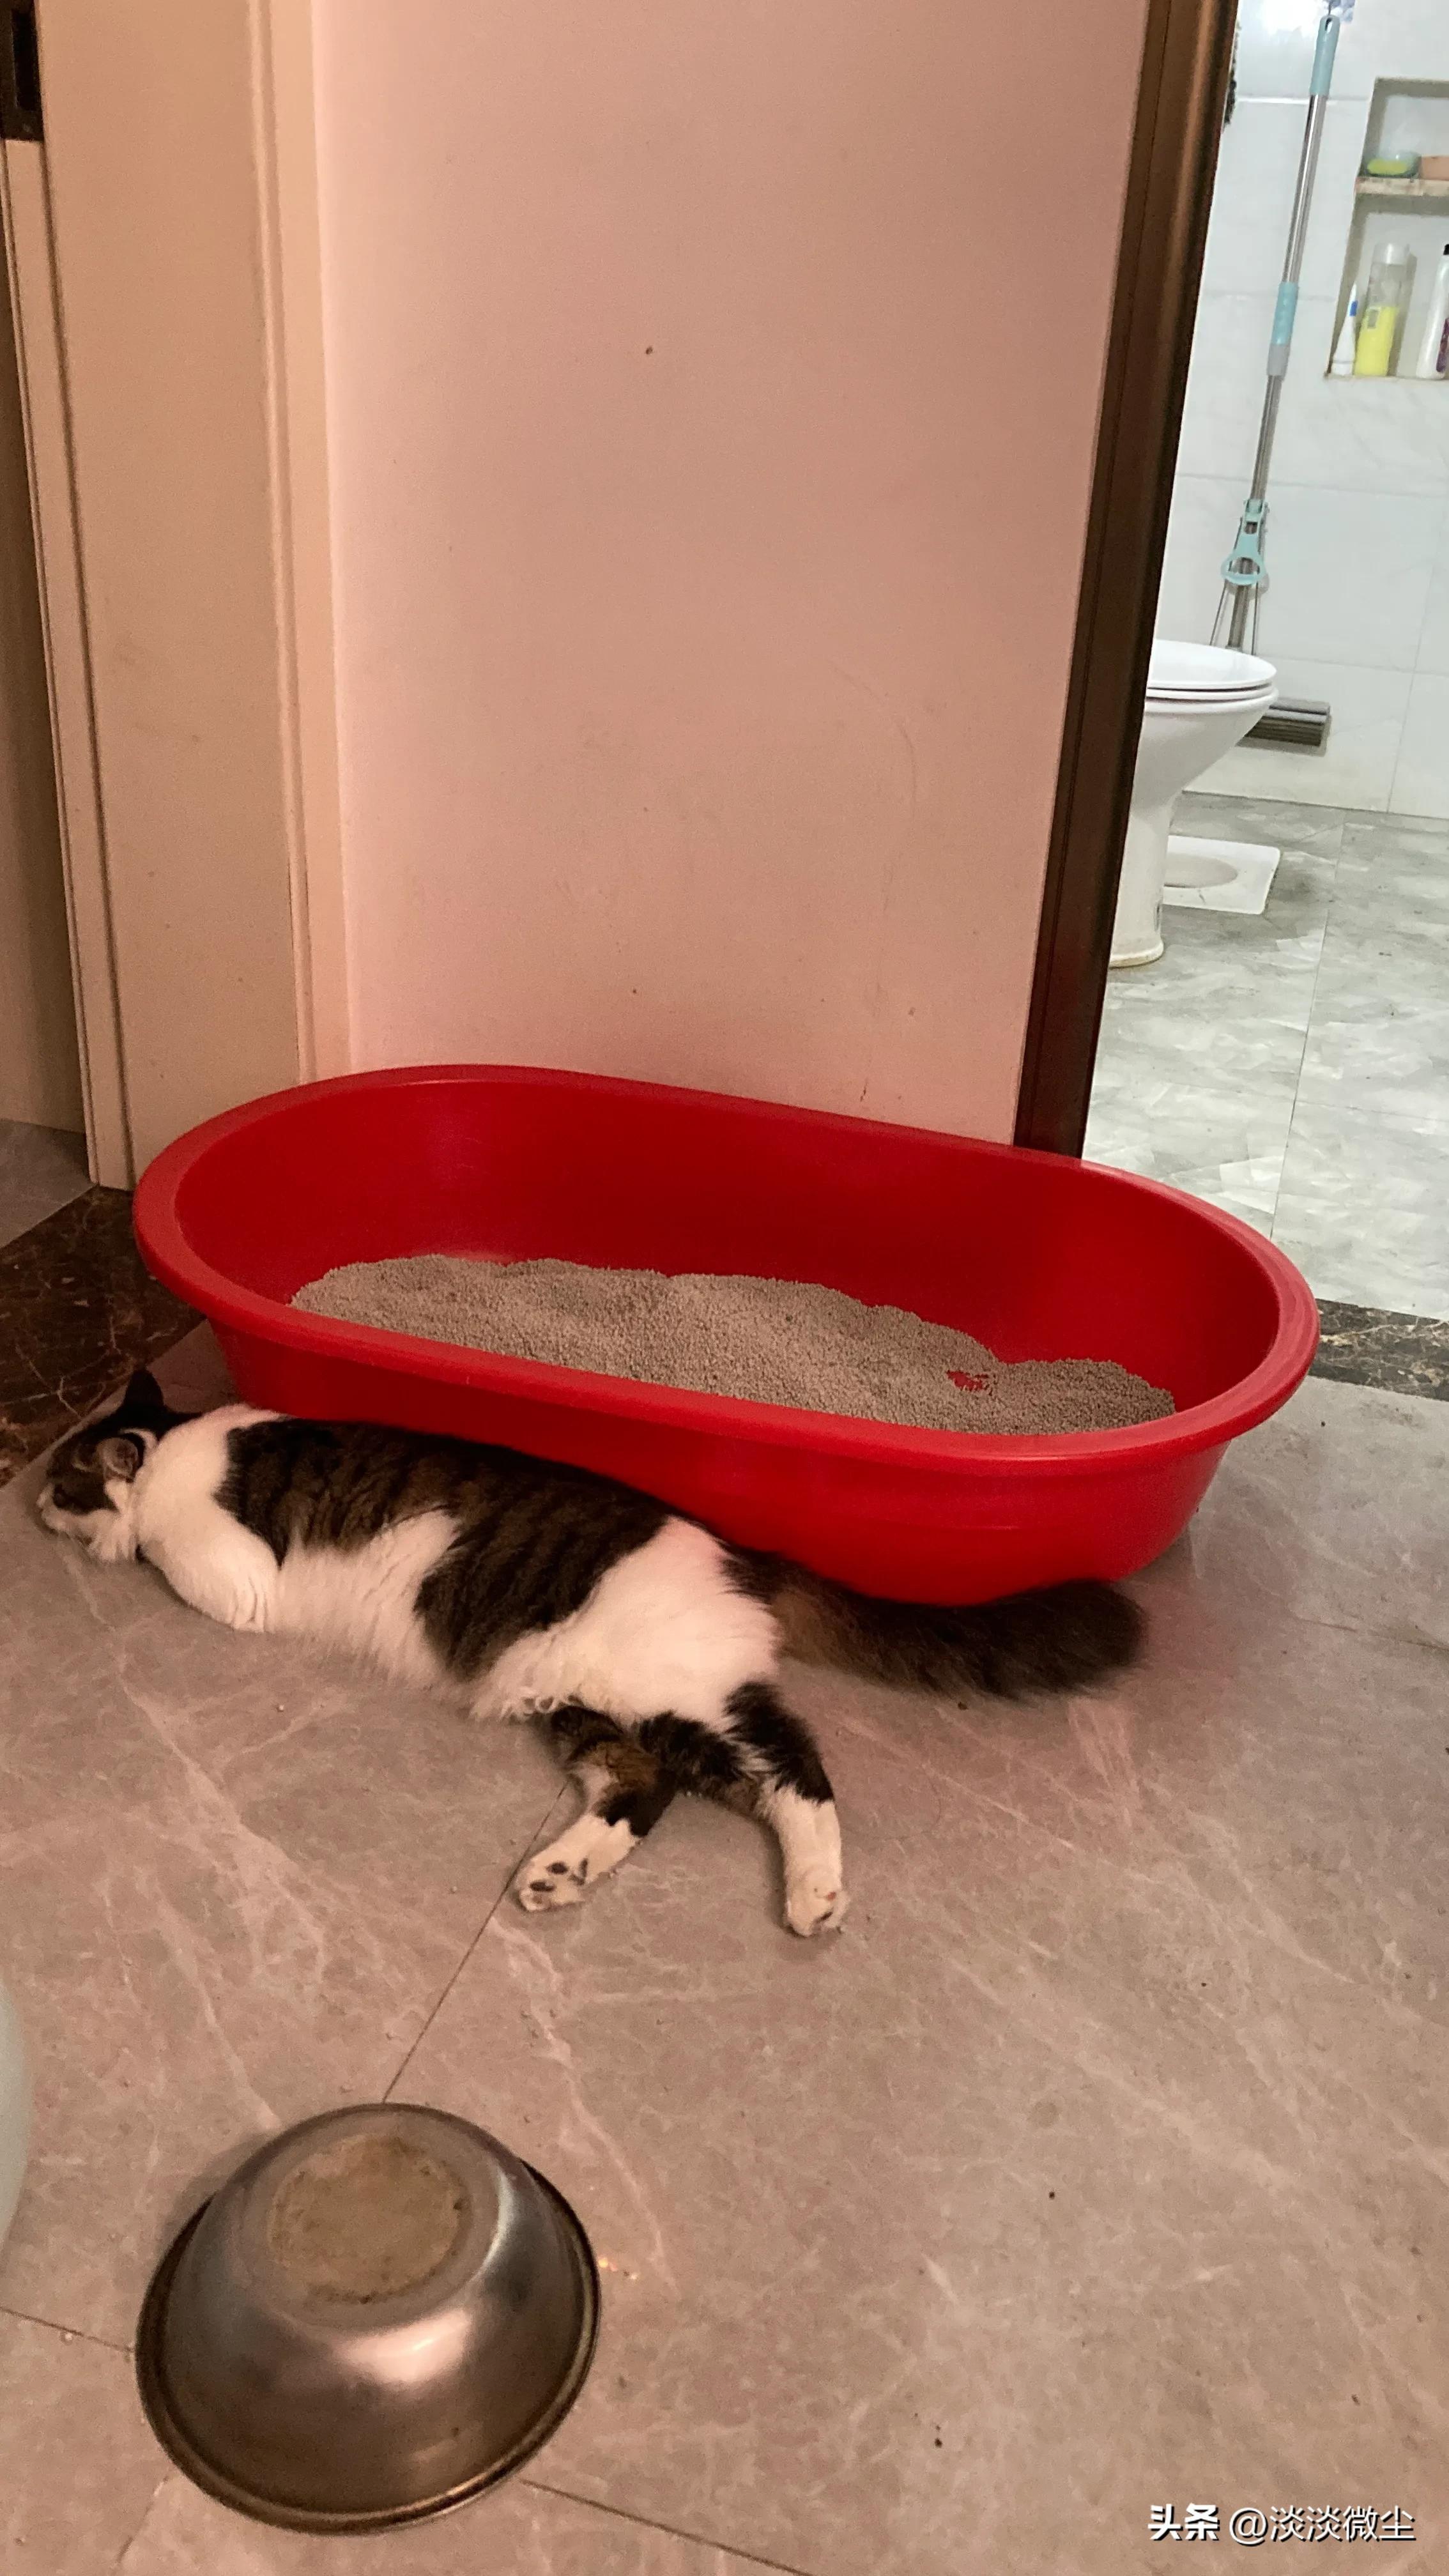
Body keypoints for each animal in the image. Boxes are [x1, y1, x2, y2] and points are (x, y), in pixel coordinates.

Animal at [38, 1370, 1144, 1935]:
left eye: (59, 1481)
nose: (32, 1502)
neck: (176, 1442)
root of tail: (745, 1553)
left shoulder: (231, 1578)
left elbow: (155, 1551)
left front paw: (110, 1541)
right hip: (594, 1705)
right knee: (651, 1791)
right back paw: (561, 1872)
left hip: (679, 1697)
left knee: (798, 1772)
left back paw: (814, 1896)